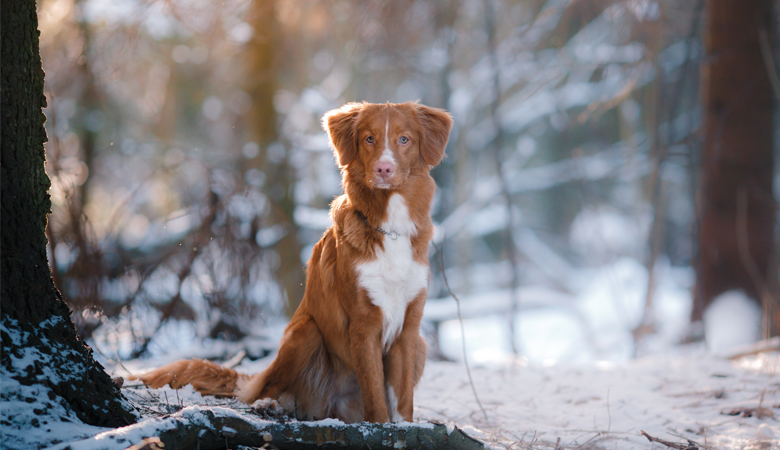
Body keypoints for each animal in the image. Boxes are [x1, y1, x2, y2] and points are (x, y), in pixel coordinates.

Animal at [134, 100, 450, 424]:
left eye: (404, 139)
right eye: (369, 139)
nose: (383, 169)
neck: (390, 227)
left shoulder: (409, 327)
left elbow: (402, 398)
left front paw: (404, 426)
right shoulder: (363, 324)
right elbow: (375, 393)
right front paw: (382, 425)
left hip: (420, 346)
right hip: (305, 333)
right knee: (268, 390)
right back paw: (270, 404)